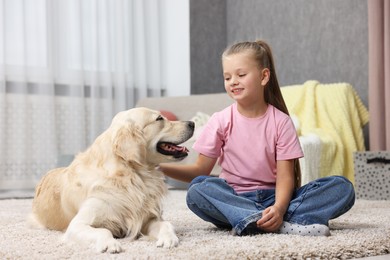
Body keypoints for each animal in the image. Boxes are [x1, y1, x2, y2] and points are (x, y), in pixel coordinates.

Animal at [29, 106, 195, 253]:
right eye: (159, 118)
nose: (192, 124)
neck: (132, 175)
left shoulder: (148, 218)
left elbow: (166, 224)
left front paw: (169, 238)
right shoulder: (77, 224)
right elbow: (103, 231)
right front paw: (110, 244)